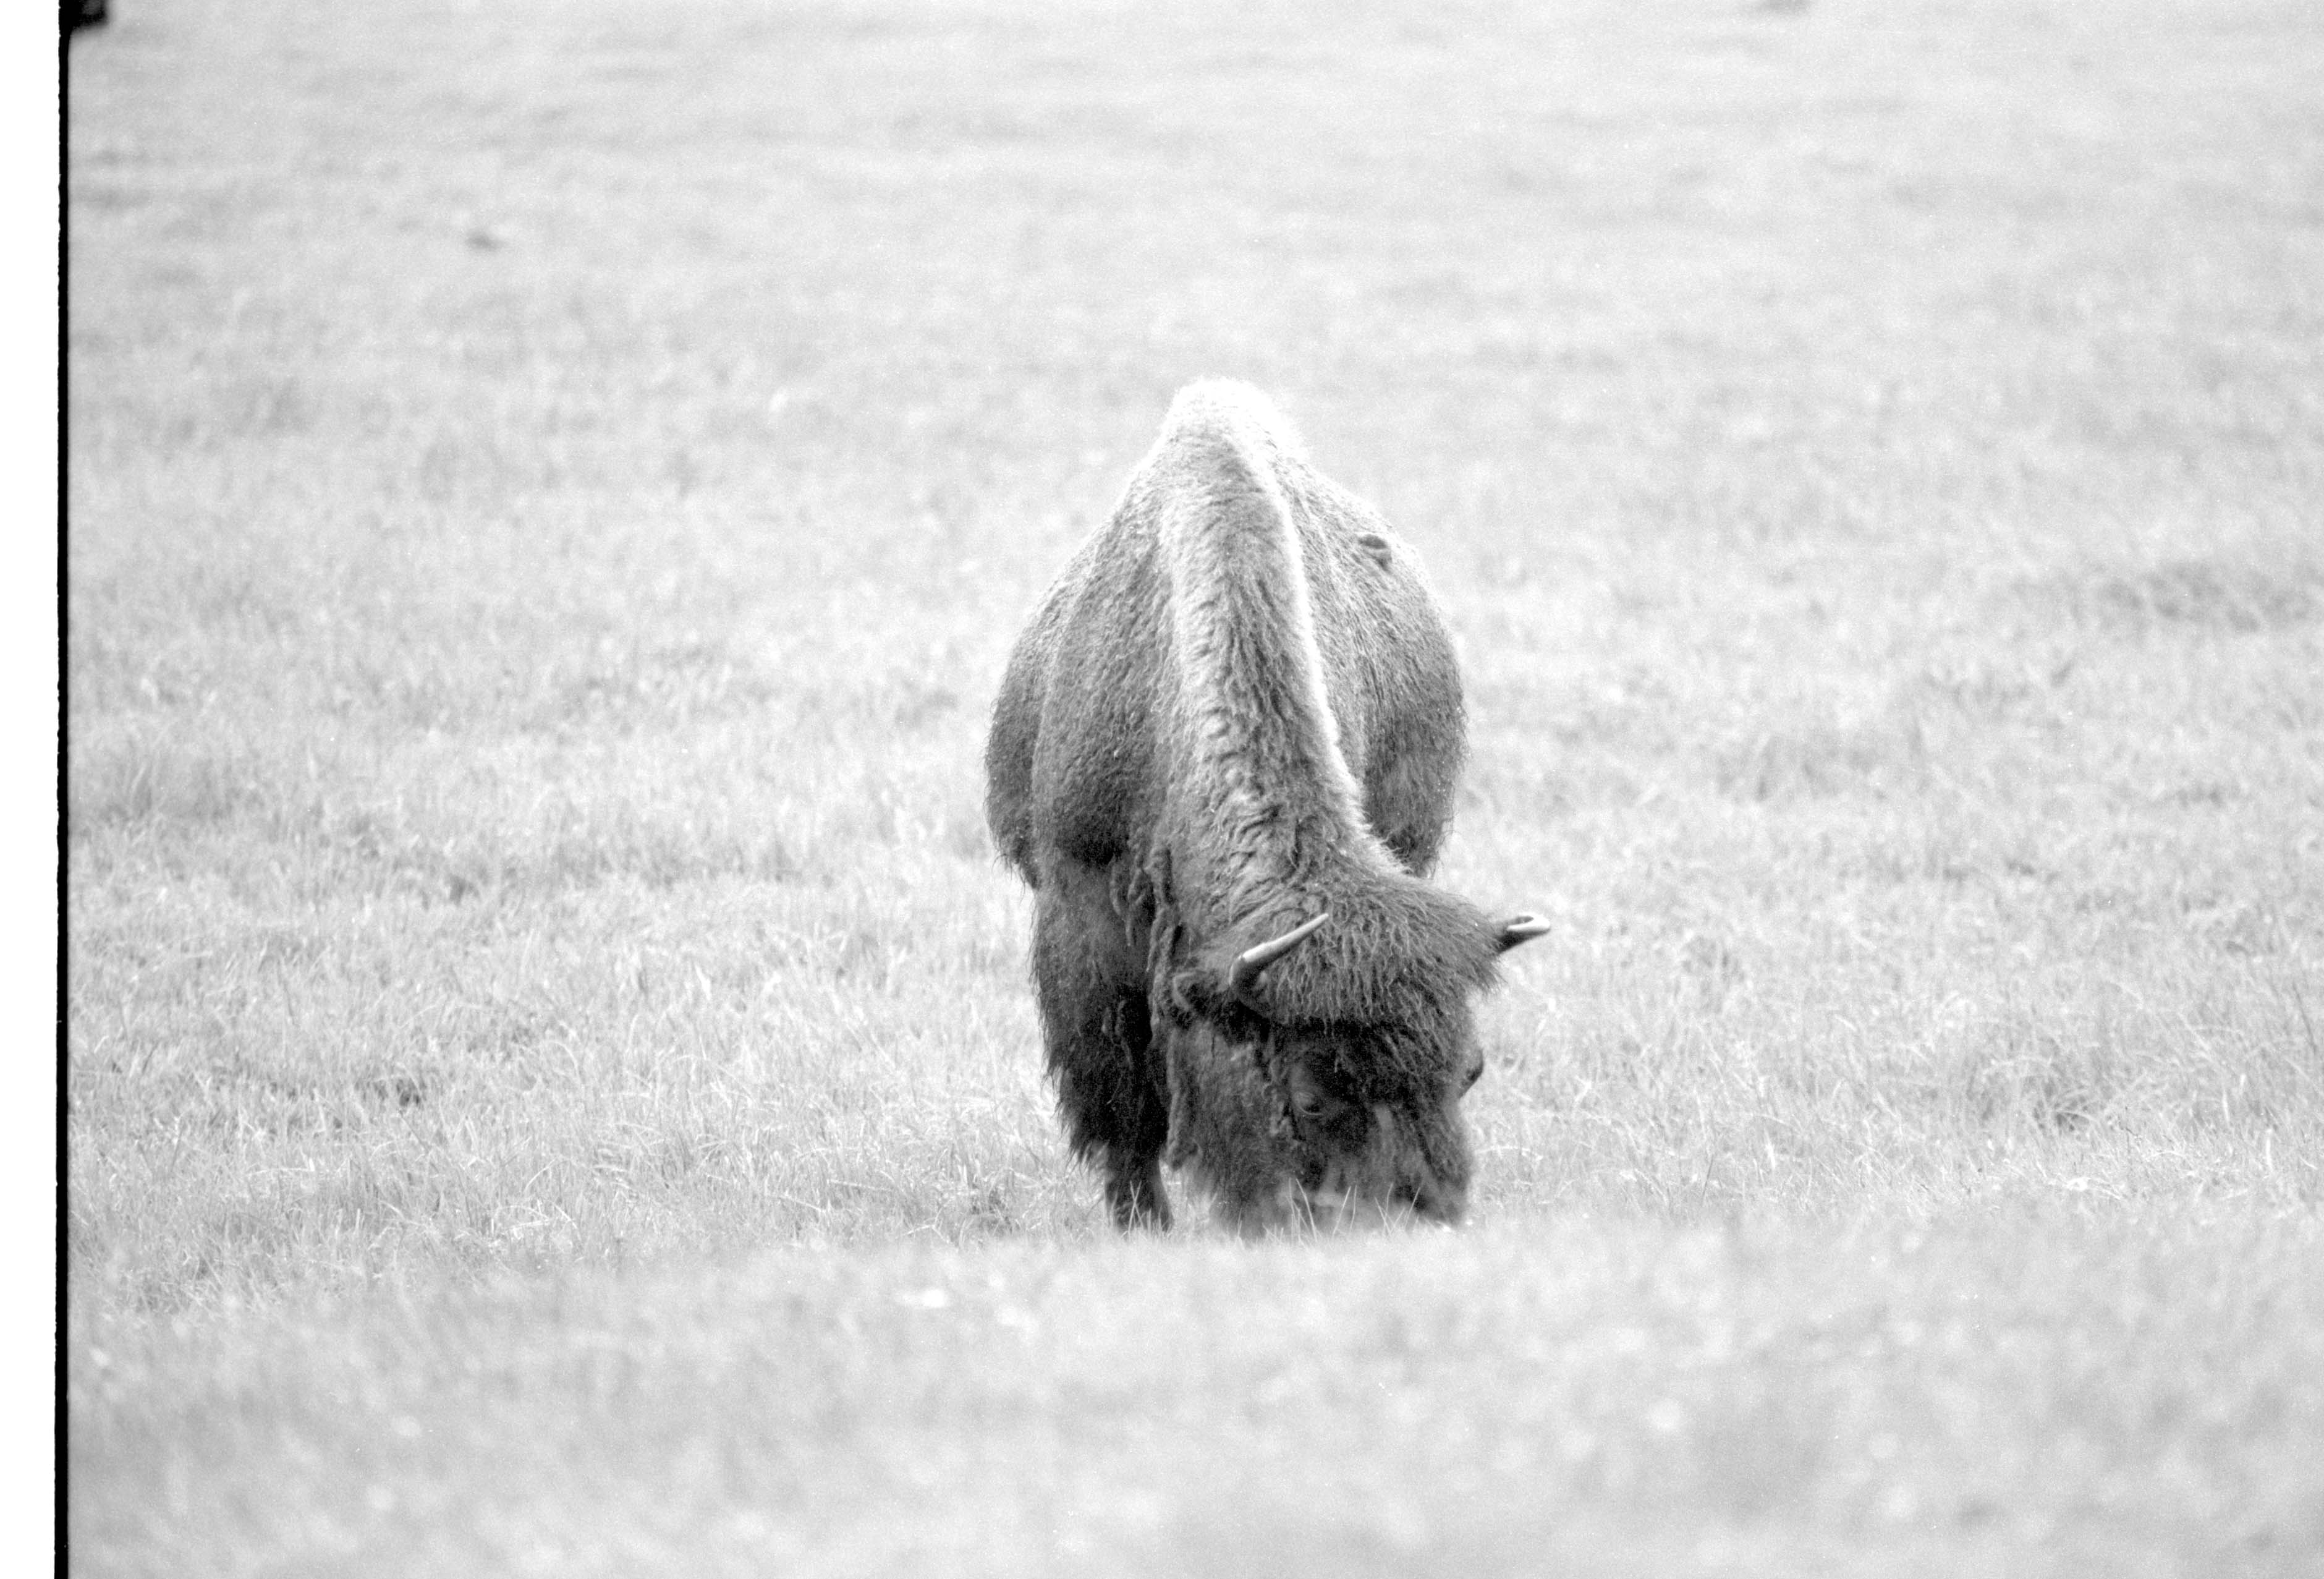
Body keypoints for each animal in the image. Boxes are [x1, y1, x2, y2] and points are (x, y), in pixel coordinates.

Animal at [985, 381, 1546, 1234]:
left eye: (1471, 1071)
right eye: (1311, 1097)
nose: (1418, 1216)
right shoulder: (1082, 922)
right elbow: (1121, 1103)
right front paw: (1142, 1222)